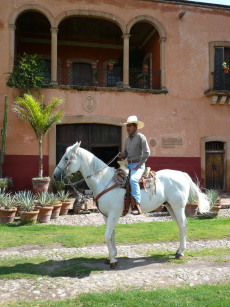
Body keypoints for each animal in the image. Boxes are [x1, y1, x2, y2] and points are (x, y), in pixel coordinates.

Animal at [53, 143, 210, 270]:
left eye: (66, 158)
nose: (55, 176)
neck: (104, 181)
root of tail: (182, 174)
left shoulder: (114, 214)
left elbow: (107, 235)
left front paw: (112, 261)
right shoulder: (106, 215)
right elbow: (112, 235)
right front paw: (112, 256)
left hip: (178, 207)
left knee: (183, 225)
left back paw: (181, 253)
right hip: (170, 207)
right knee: (180, 226)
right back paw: (178, 251)